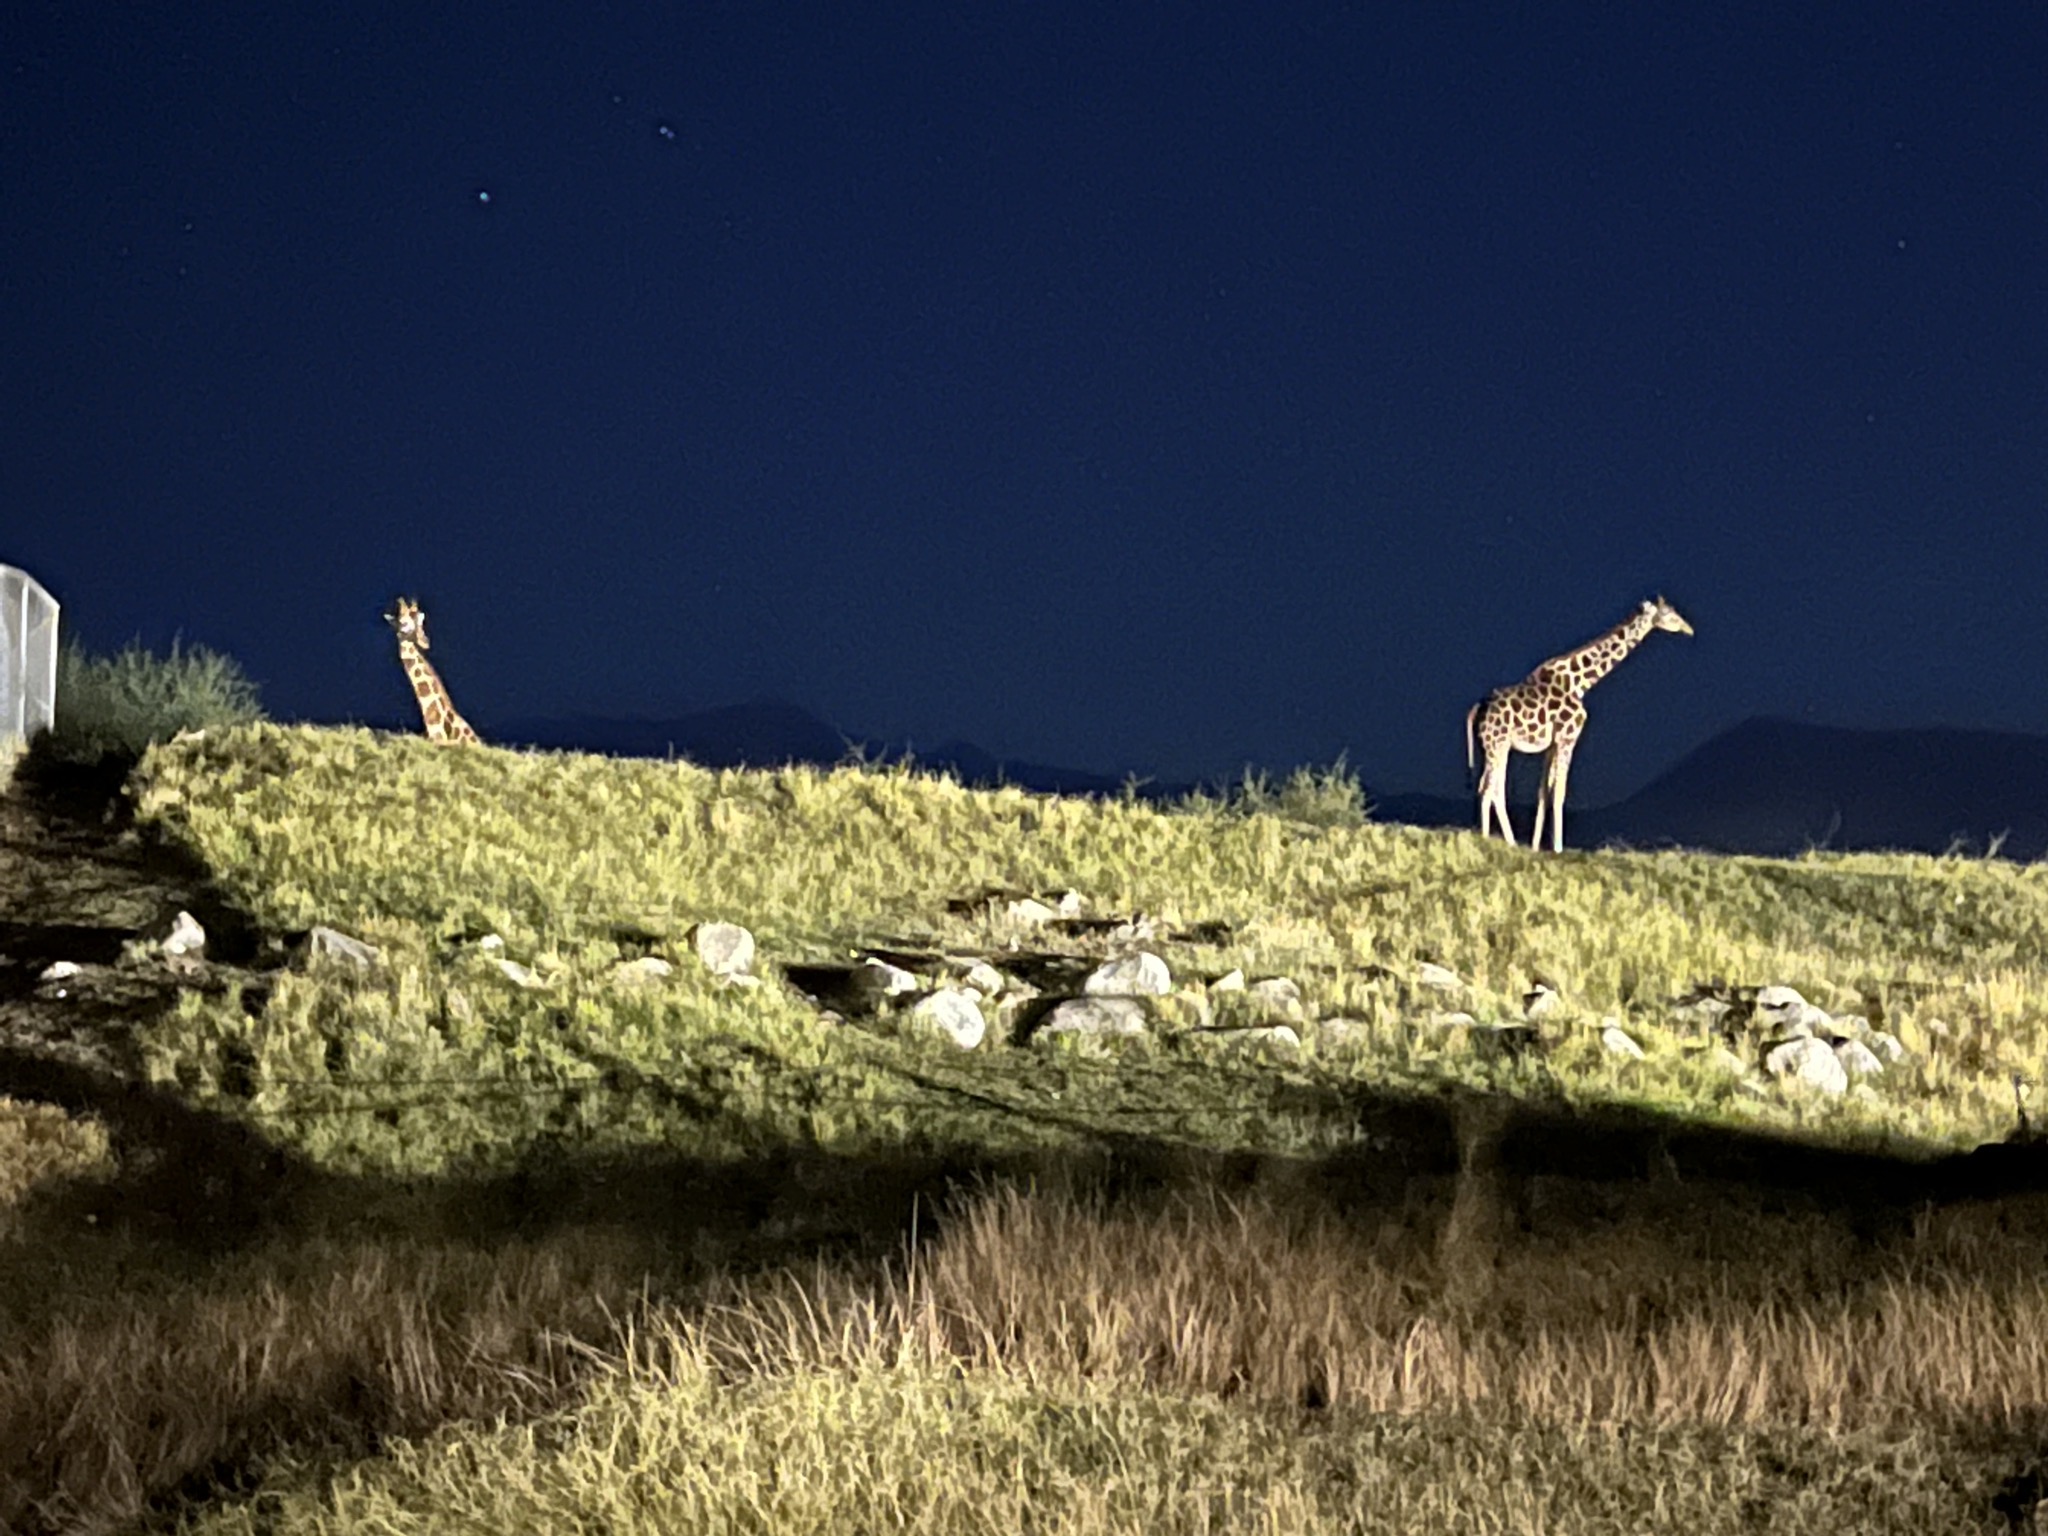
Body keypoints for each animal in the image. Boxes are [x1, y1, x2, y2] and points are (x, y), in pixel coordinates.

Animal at [1465, 596, 1692, 851]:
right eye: (1668, 613)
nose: (1689, 629)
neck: (1580, 683)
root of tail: (1479, 707)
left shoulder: (1552, 744)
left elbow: (1544, 792)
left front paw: (1537, 848)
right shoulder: (1568, 737)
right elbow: (1559, 793)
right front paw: (1557, 849)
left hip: (1492, 747)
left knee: (1486, 788)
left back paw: (1490, 839)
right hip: (1498, 744)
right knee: (1492, 789)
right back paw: (1506, 842)